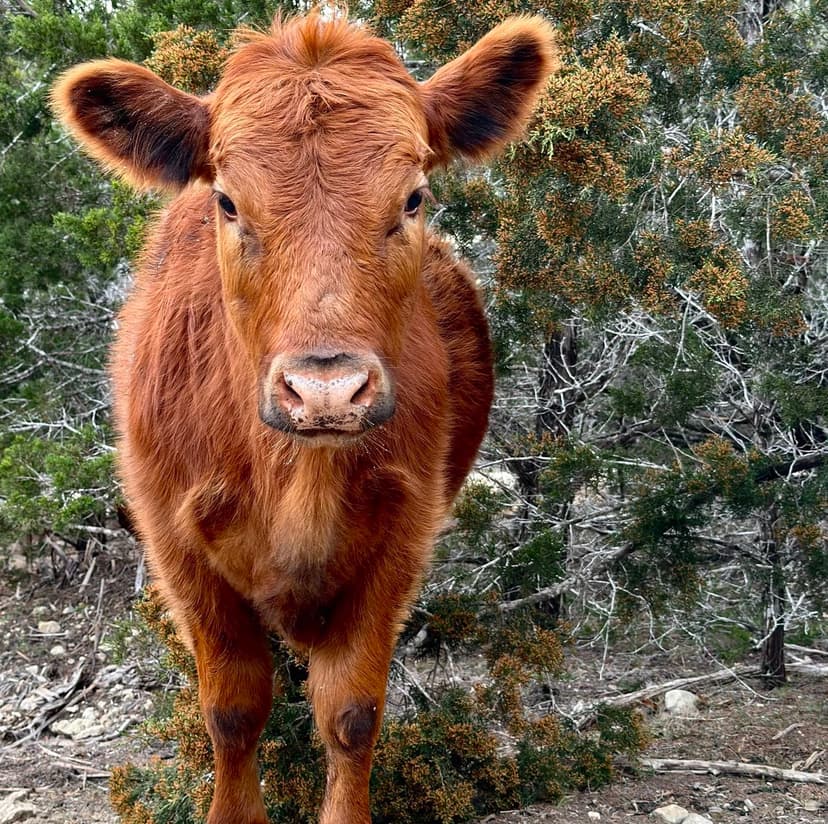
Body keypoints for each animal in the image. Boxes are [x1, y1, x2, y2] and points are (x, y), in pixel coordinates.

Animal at [52, 12, 557, 824]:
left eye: (413, 198)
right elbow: (231, 709)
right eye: (228, 202)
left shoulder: (400, 540)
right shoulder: (178, 547)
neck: (295, 478)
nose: (326, 391)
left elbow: (350, 712)